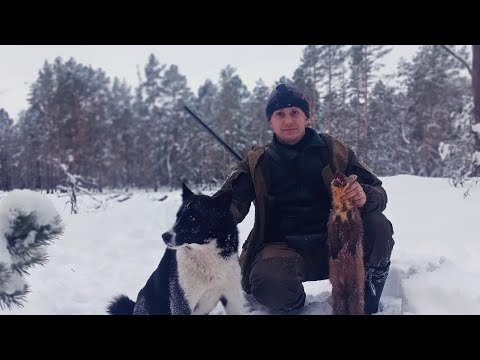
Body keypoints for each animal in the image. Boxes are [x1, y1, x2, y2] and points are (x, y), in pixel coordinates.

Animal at [107, 184, 246, 314]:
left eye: (193, 218)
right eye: (178, 216)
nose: (165, 236)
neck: (205, 255)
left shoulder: (232, 297)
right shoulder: (182, 302)